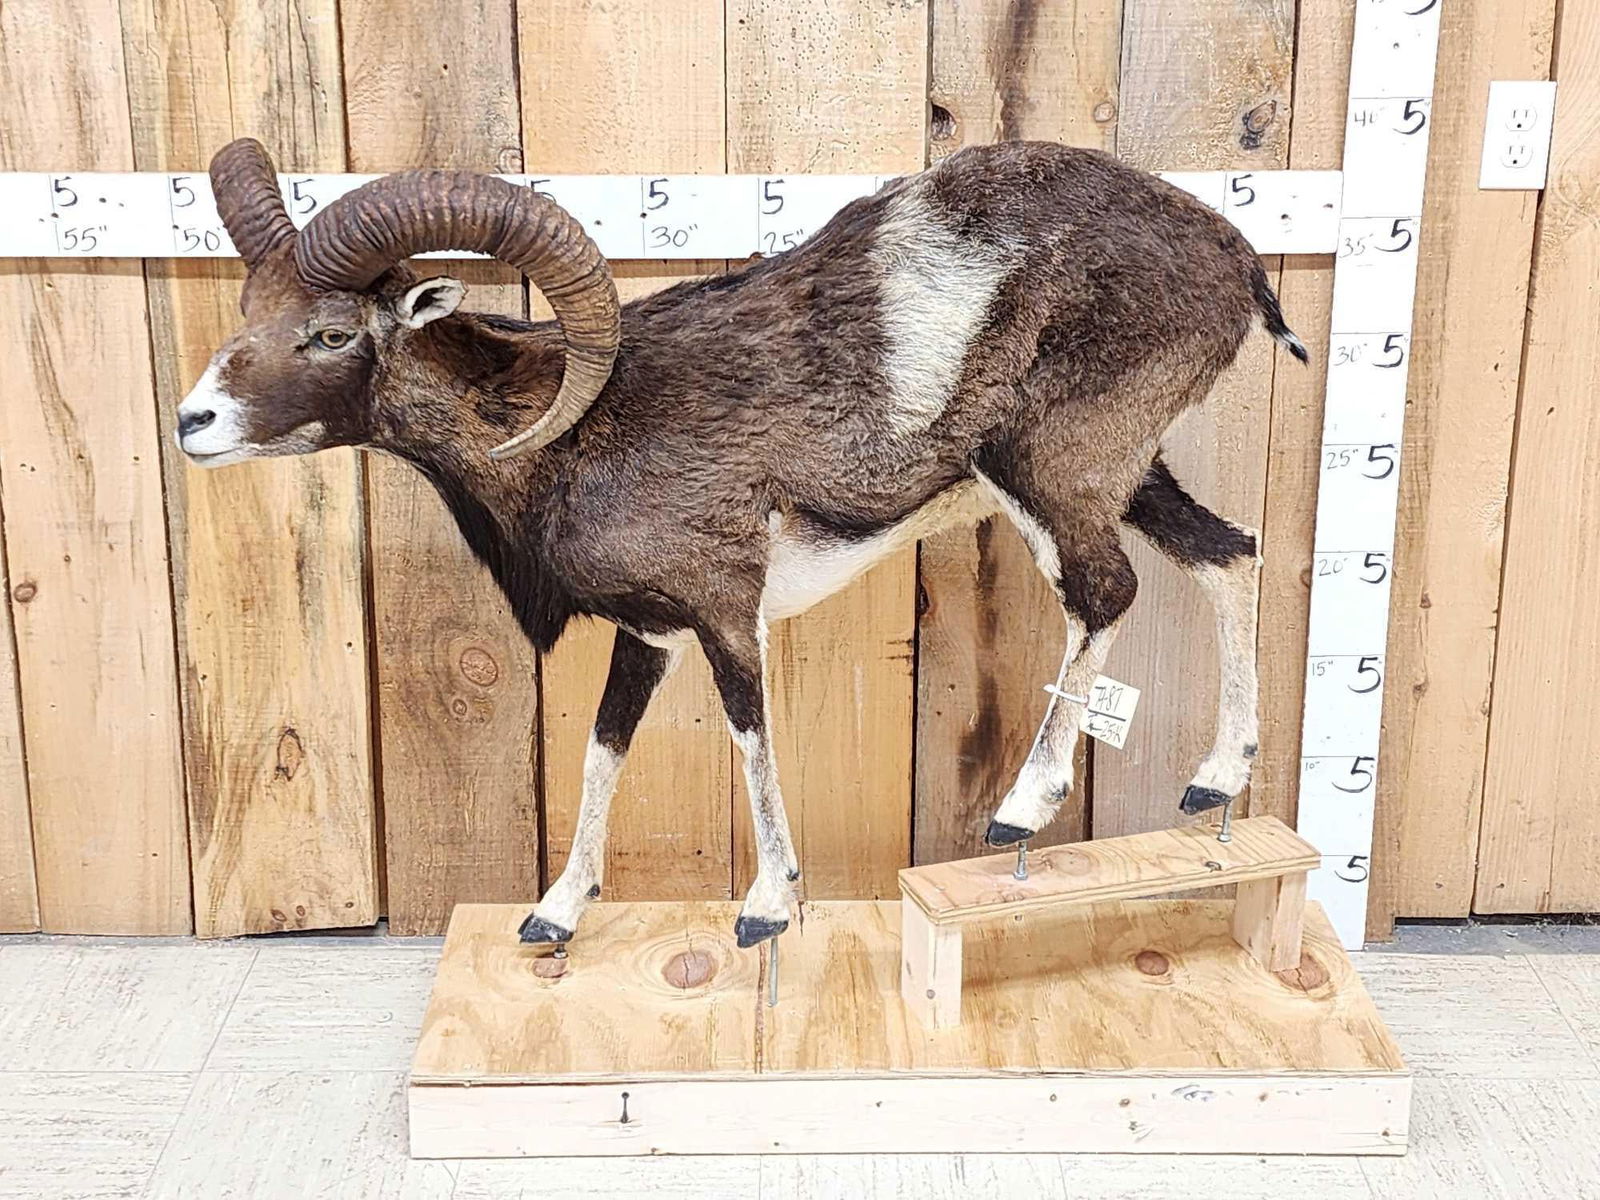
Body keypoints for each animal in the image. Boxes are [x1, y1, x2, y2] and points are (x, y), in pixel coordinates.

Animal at [177, 137, 1306, 951]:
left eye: (332, 332)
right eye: (248, 313)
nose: (194, 424)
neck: (567, 436)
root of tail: (1236, 264)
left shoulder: (725, 613)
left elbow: (750, 738)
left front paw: (767, 909)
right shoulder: (647, 637)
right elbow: (601, 752)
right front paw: (552, 916)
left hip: (1054, 479)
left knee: (1106, 593)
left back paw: (1020, 814)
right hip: (1127, 480)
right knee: (1230, 553)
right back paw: (1214, 782)